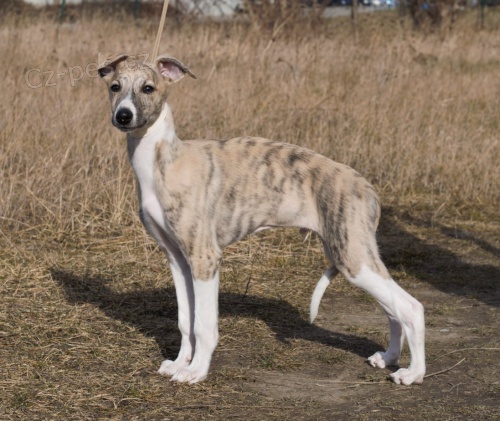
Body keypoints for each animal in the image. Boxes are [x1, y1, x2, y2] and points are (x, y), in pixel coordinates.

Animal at [98, 54, 425, 385]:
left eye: (148, 88)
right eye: (115, 87)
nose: (123, 116)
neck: (164, 159)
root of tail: (368, 188)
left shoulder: (205, 258)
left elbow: (203, 325)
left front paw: (197, 371)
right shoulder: (178, 259)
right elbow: (185, 320)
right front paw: (180, 363)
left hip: (353, 257)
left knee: (411, 307)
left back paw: (413, 373)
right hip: (356, 256)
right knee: (393, 310)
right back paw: (388, 358)